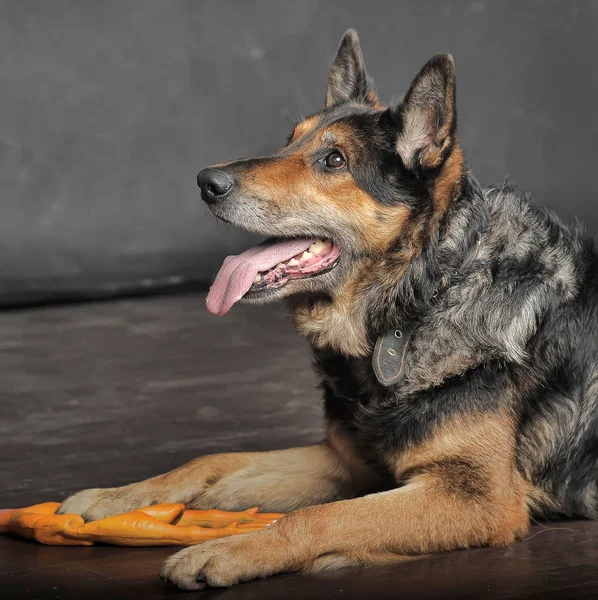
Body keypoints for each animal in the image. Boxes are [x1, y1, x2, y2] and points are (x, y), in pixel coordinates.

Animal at [58, 30, 598, 588]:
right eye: (288, 141)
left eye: (334, 160)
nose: (207, 182)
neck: (419, 297)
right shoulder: (346, 462)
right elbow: (214, 458)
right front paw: (117, 496)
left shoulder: (475, 496)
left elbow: (319, 516)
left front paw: (227, 551)